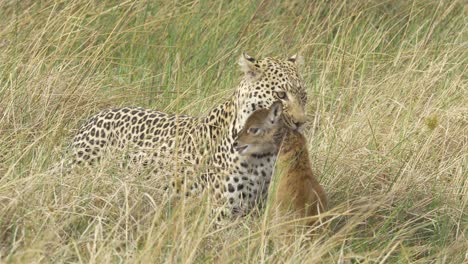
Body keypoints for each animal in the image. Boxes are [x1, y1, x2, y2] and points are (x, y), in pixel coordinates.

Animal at [66, 53, 308, 219]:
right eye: (280, 95)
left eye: (303, 95)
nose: (301, 122)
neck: (263, 156)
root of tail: (93, 118)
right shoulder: (221, 212)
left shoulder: (258, 207)